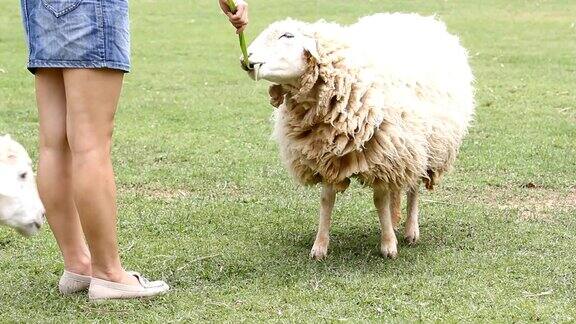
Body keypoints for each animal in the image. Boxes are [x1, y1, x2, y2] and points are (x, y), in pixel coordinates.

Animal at [241, 13, 474, 260]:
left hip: (422, 146)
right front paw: (319, 247)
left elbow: (379, 200)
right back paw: (395, 220)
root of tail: (418, 18)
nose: (246, 60)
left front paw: (388, 245)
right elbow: (327, 200)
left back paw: (411, 230)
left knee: (413, 188)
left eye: (287, 35)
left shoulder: (383, 154)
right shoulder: (327, 155)